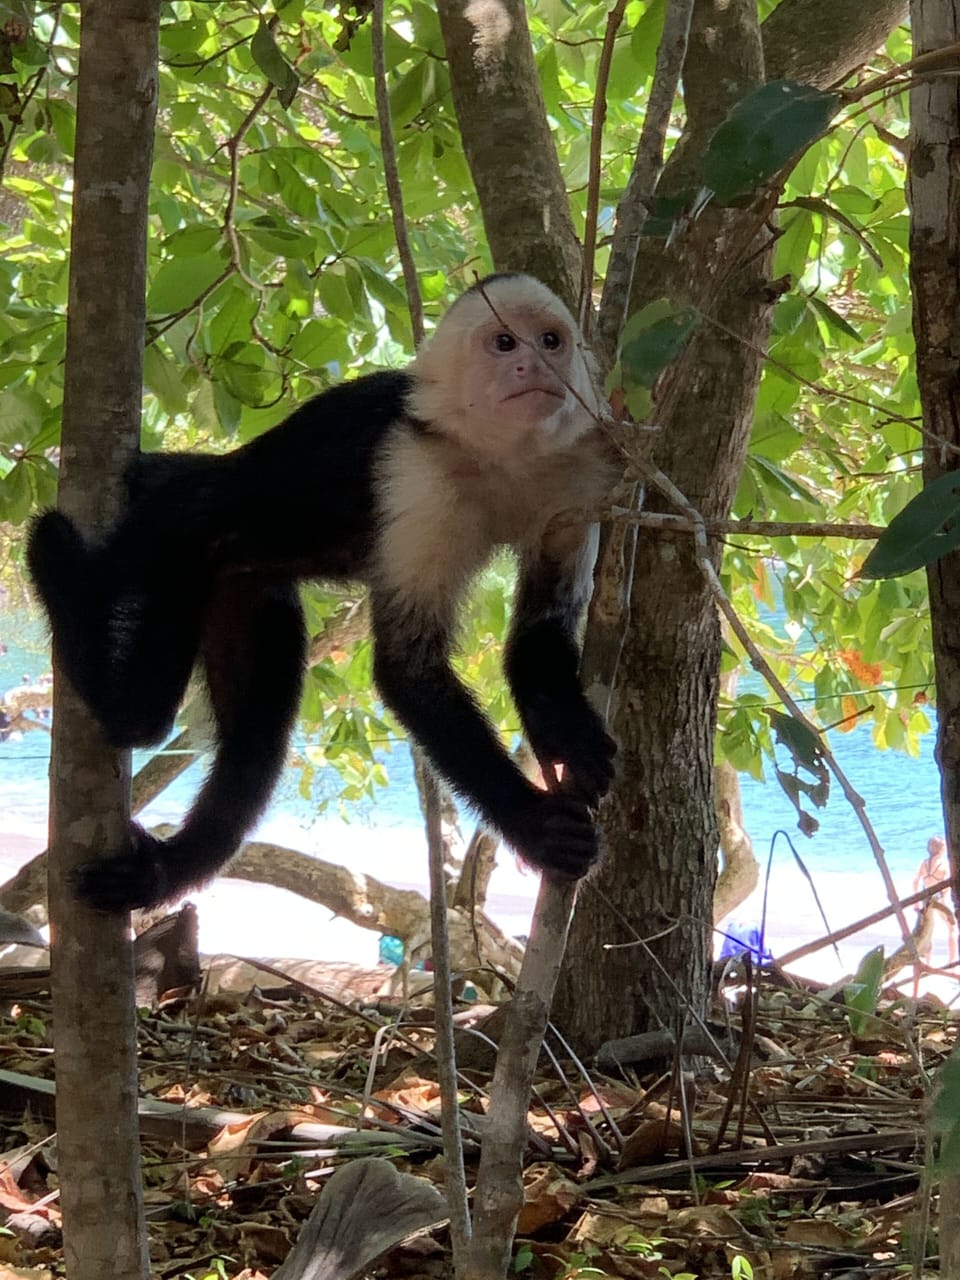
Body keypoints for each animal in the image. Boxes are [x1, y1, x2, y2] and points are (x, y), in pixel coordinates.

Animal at [27, 273, 619, 912]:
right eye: (504, 343)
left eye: (552, 340)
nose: (535, 364)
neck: (503, 458)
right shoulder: (417, 474)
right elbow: (407, 667)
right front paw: (537, 826)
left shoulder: (580, 473)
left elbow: (541, 633)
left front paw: (568, 733)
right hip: (174, 520)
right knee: (186, 524)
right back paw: (68, 584)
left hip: (242, 593)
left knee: (254, 745)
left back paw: (166, 868)